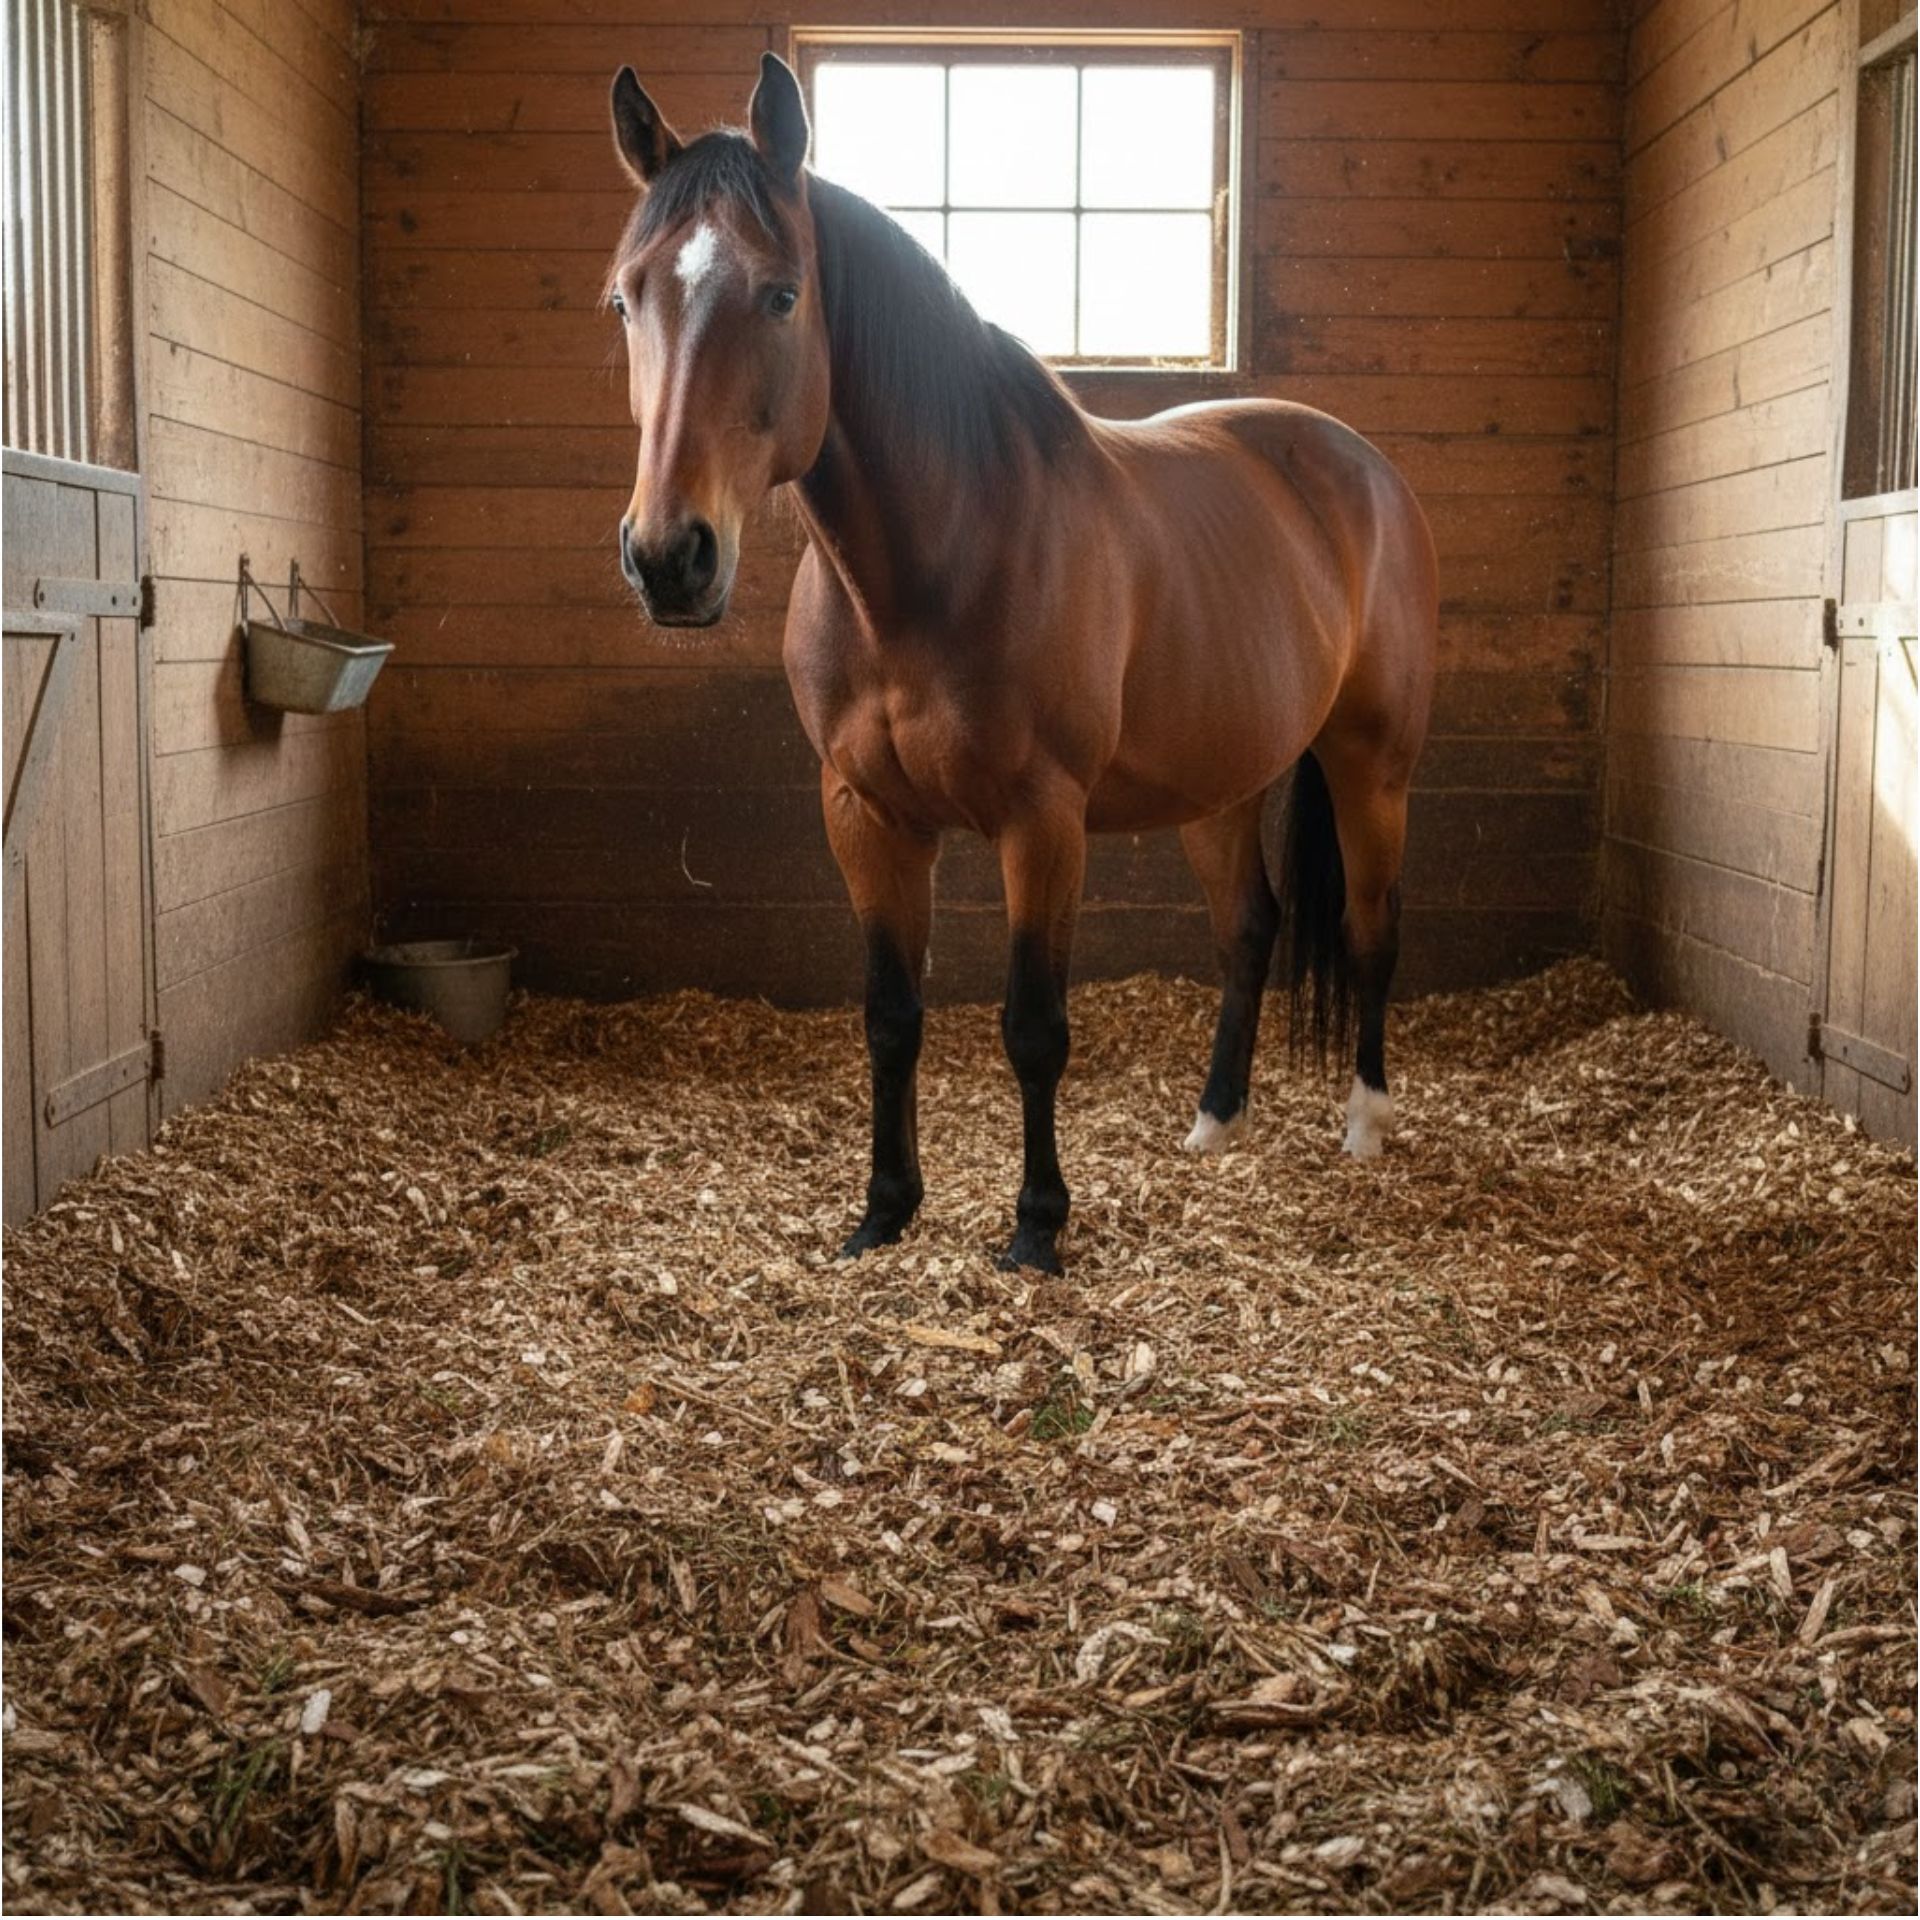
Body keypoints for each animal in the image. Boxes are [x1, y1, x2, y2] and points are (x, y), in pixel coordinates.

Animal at [604, 53, 1438, 1275]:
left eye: (782, 294)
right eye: (626, 298)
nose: (670, 558)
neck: (937, 559)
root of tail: (1363, 467)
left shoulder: (1042, 821)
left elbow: (1034, 1027)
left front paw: (1037, 1228)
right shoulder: (864, 814)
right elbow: (890, 1017)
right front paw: (883, 1213)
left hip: (1371, 765)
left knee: (1373, 930)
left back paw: (1368, 1125)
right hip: (1221, 783)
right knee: (1250, 929)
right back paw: (1214, 1125)